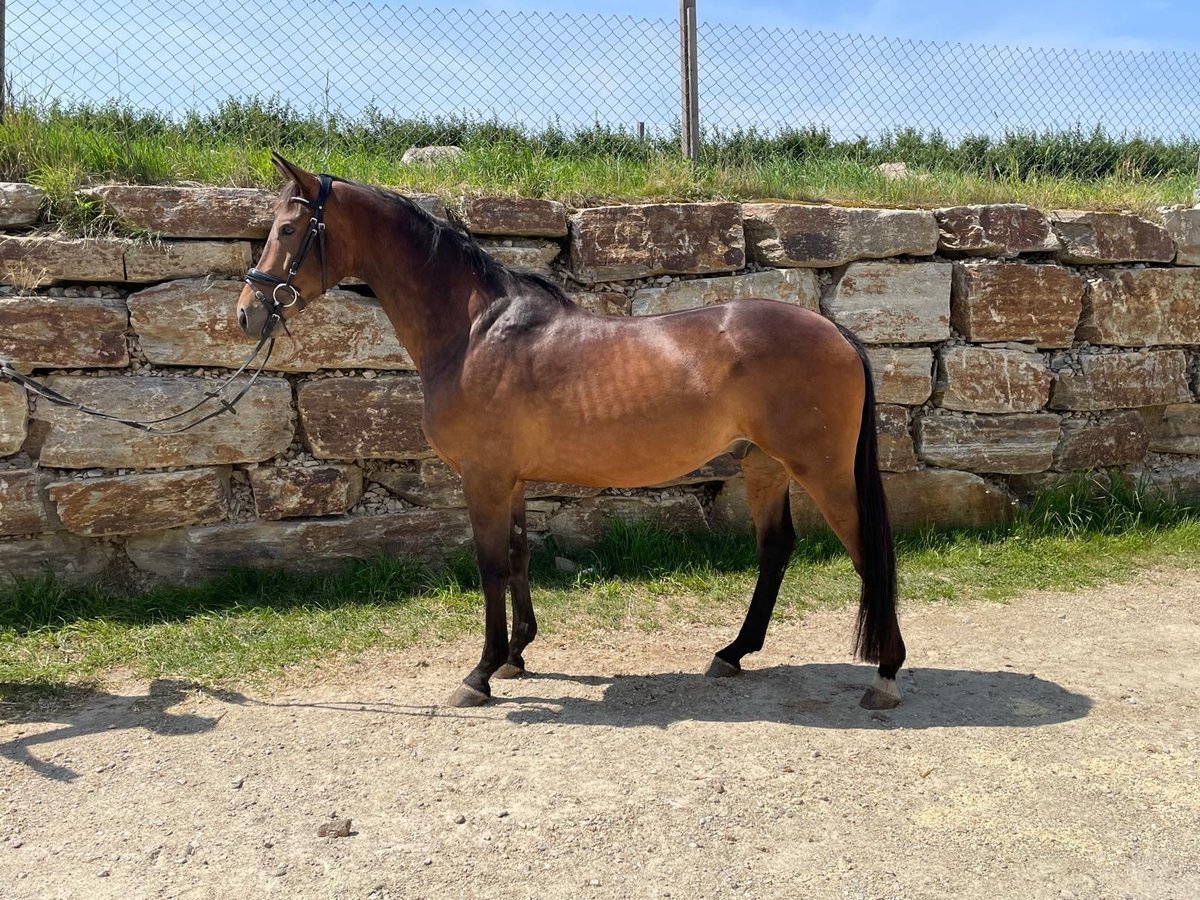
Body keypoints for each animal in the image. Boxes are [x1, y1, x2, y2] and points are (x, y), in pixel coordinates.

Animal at [238, 153, 907, 711]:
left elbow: (489, 564)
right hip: (762, 463)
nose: (247, 312)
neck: (474, 331)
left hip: (821, 469)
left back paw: (885, 675)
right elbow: (516, 556)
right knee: (775, 549)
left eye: (289, 231)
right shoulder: (509, 479)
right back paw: (733, 653)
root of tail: (836, 332)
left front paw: (479, 674)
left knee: (866, 548)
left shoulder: (483, 477)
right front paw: (515, 656)